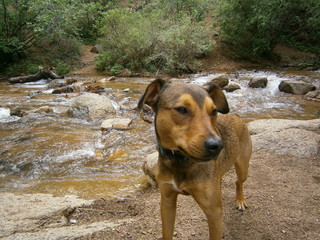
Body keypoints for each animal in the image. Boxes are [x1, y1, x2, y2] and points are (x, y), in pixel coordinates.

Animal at [138, 79, 252, 240]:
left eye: (214, 111)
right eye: (181, 109)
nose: (217, 146)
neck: (180, 161)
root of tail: (236, 117)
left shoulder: (214, 213)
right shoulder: (167, 201)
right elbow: (167, 232)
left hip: (243, 167)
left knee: (238, 181)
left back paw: (240, 200)